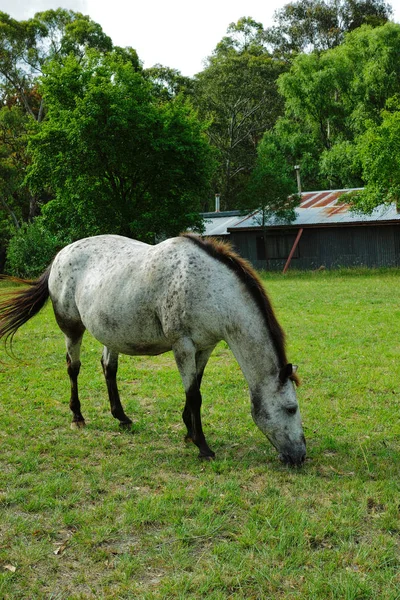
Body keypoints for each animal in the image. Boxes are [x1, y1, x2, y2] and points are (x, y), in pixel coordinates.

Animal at [0, 233, 306, 464]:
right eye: (291, 408)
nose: (300, 456)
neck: (210, 287)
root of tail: (60, 255)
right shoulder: (183, 346)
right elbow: (194, 395)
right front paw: (202, 446)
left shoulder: (205, 347)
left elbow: (195, 389)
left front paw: (188, 431)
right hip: (72, 330)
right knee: (73, 368)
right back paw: (77, 416)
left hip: (110, 332)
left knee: (109, 368)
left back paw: (121, 417)